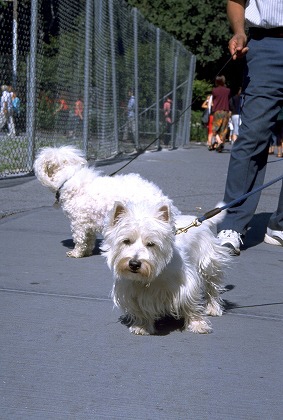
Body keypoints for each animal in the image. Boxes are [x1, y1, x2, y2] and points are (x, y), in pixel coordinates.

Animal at [33, 146, 178, 258]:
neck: (68, 178)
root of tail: (163, 199)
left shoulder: (78, 223)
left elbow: (80, 239)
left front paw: (76, 253)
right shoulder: (88, 223)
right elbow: (89, 239)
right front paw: (87, 252)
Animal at [102, 202, 231, 336]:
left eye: (151, 244)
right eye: (126, 241)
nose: (134, 264)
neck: (151, 276)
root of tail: (197, 220)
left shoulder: (186, 285)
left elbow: (190, 303)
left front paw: (198, 324)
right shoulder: (132, 292)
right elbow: (140, 309)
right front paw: (142, 326)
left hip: (209, 263)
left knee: (212, 286)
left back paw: (213, 308)